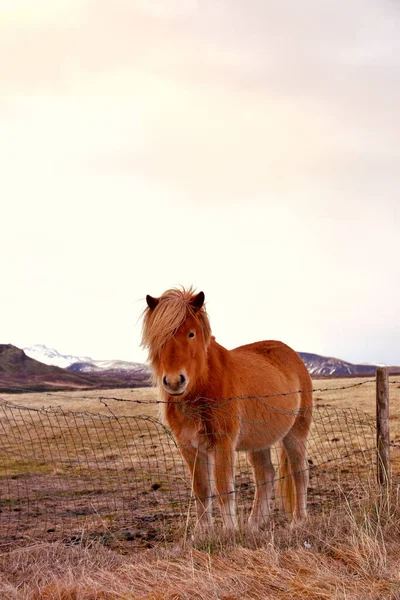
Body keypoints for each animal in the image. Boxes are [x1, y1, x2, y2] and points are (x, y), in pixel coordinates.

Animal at [141, 288, 312, 528]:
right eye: (160, 338)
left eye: (191, 334)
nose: (174, 382)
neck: (201, 389)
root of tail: (293, 355)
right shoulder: (188, 446)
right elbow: (201, 490)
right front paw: (203, 531)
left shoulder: (223, 442)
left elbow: (224, 489)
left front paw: (231, 531)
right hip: (259, 440)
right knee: (265, 475)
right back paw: (254, 525)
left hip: (296, 433)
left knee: (299, 472)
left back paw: (298, 521)